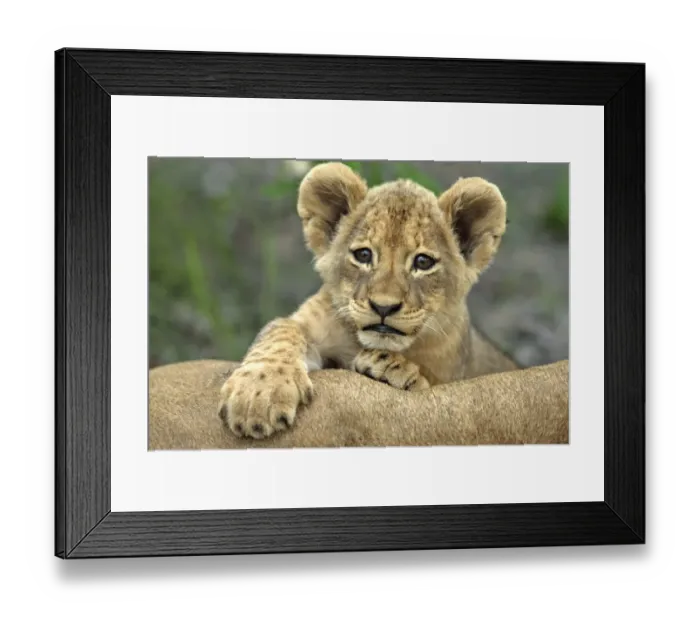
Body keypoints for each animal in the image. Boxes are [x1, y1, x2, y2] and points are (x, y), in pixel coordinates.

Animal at [218, 162, 520, 440]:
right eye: (363, 255)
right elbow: (281, 330)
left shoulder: (454, 378)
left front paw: (390, 369)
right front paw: (256, 395)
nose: (383, 307)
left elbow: (430, 388)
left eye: (423, 262)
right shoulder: (312, 321)